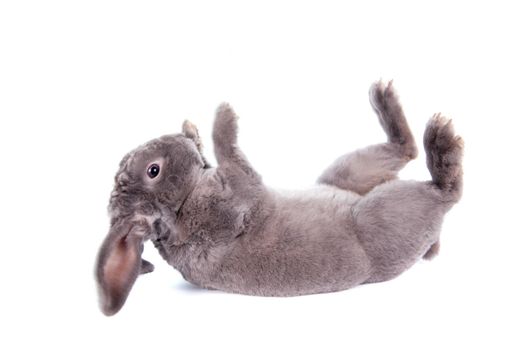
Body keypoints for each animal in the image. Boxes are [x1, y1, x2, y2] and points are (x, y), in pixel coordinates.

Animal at [95, 80, 462, 316]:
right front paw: (223, 115)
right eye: (153, 170)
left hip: (347, 173)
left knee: (404, 150)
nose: (180, 136)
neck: (181, 205)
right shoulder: (235, 198)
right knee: (445, 190)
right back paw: (441, 139)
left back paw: (383, 97)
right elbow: (229, 154)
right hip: (384, 214)